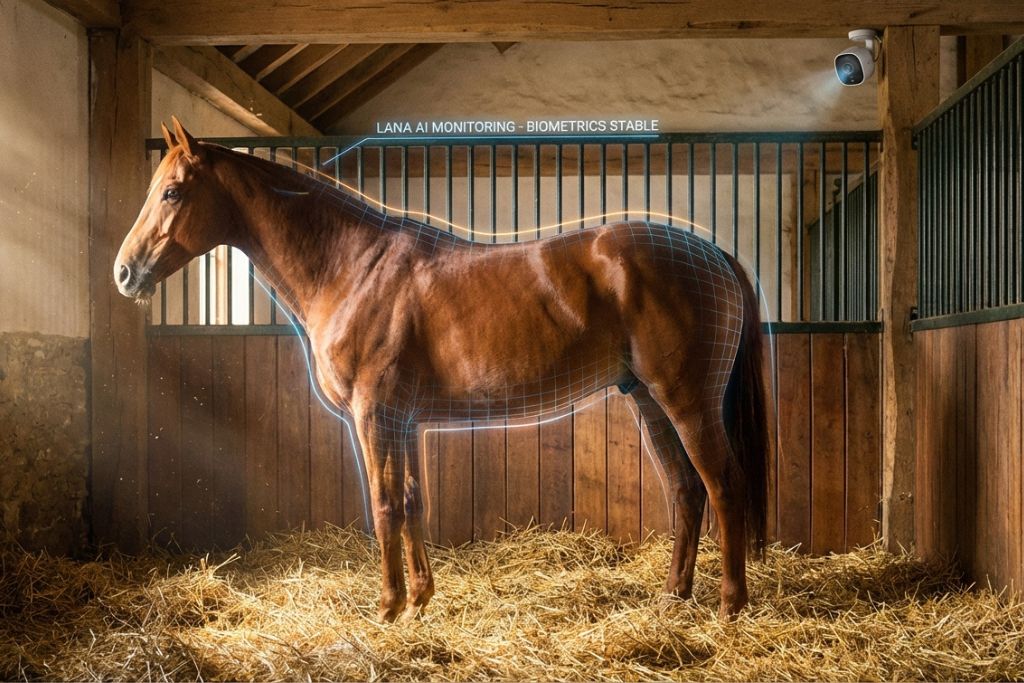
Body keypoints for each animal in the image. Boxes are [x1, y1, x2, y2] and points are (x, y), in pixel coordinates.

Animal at [115, 118, 768, 622]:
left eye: (172, 192)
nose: (124, 272)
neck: (352, 267)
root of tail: (712, 253)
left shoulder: (374, 415)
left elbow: (383, 505)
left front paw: (386, 608)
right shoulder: (404, 420)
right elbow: (411, 502)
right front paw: (420, 601)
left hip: (686, 399)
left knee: (723, 484)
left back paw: (730, 604)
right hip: (649, 400)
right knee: (685, 489)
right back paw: (673, 597)